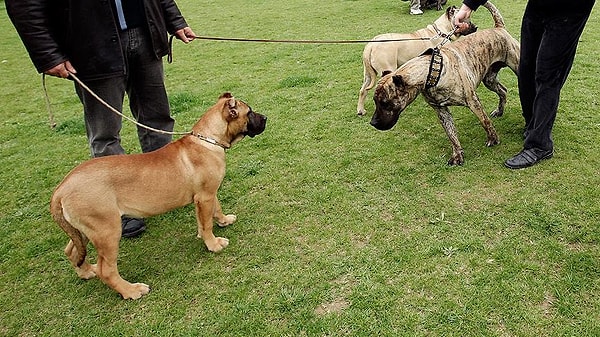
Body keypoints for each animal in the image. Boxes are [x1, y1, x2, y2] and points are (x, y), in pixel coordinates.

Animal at [50, 92, 266, 300]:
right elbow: (206, 223)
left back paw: (86, 272)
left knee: (72, 251)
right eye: (249, 112)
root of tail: (61, 189)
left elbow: (214, 209)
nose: (265, 117)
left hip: (83, 230)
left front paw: (223, 220)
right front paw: (213, 243)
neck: (208, 139)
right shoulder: (205, 196)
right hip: (106, 230)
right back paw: (131, 290)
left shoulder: (207, 194)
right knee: (107, 270)